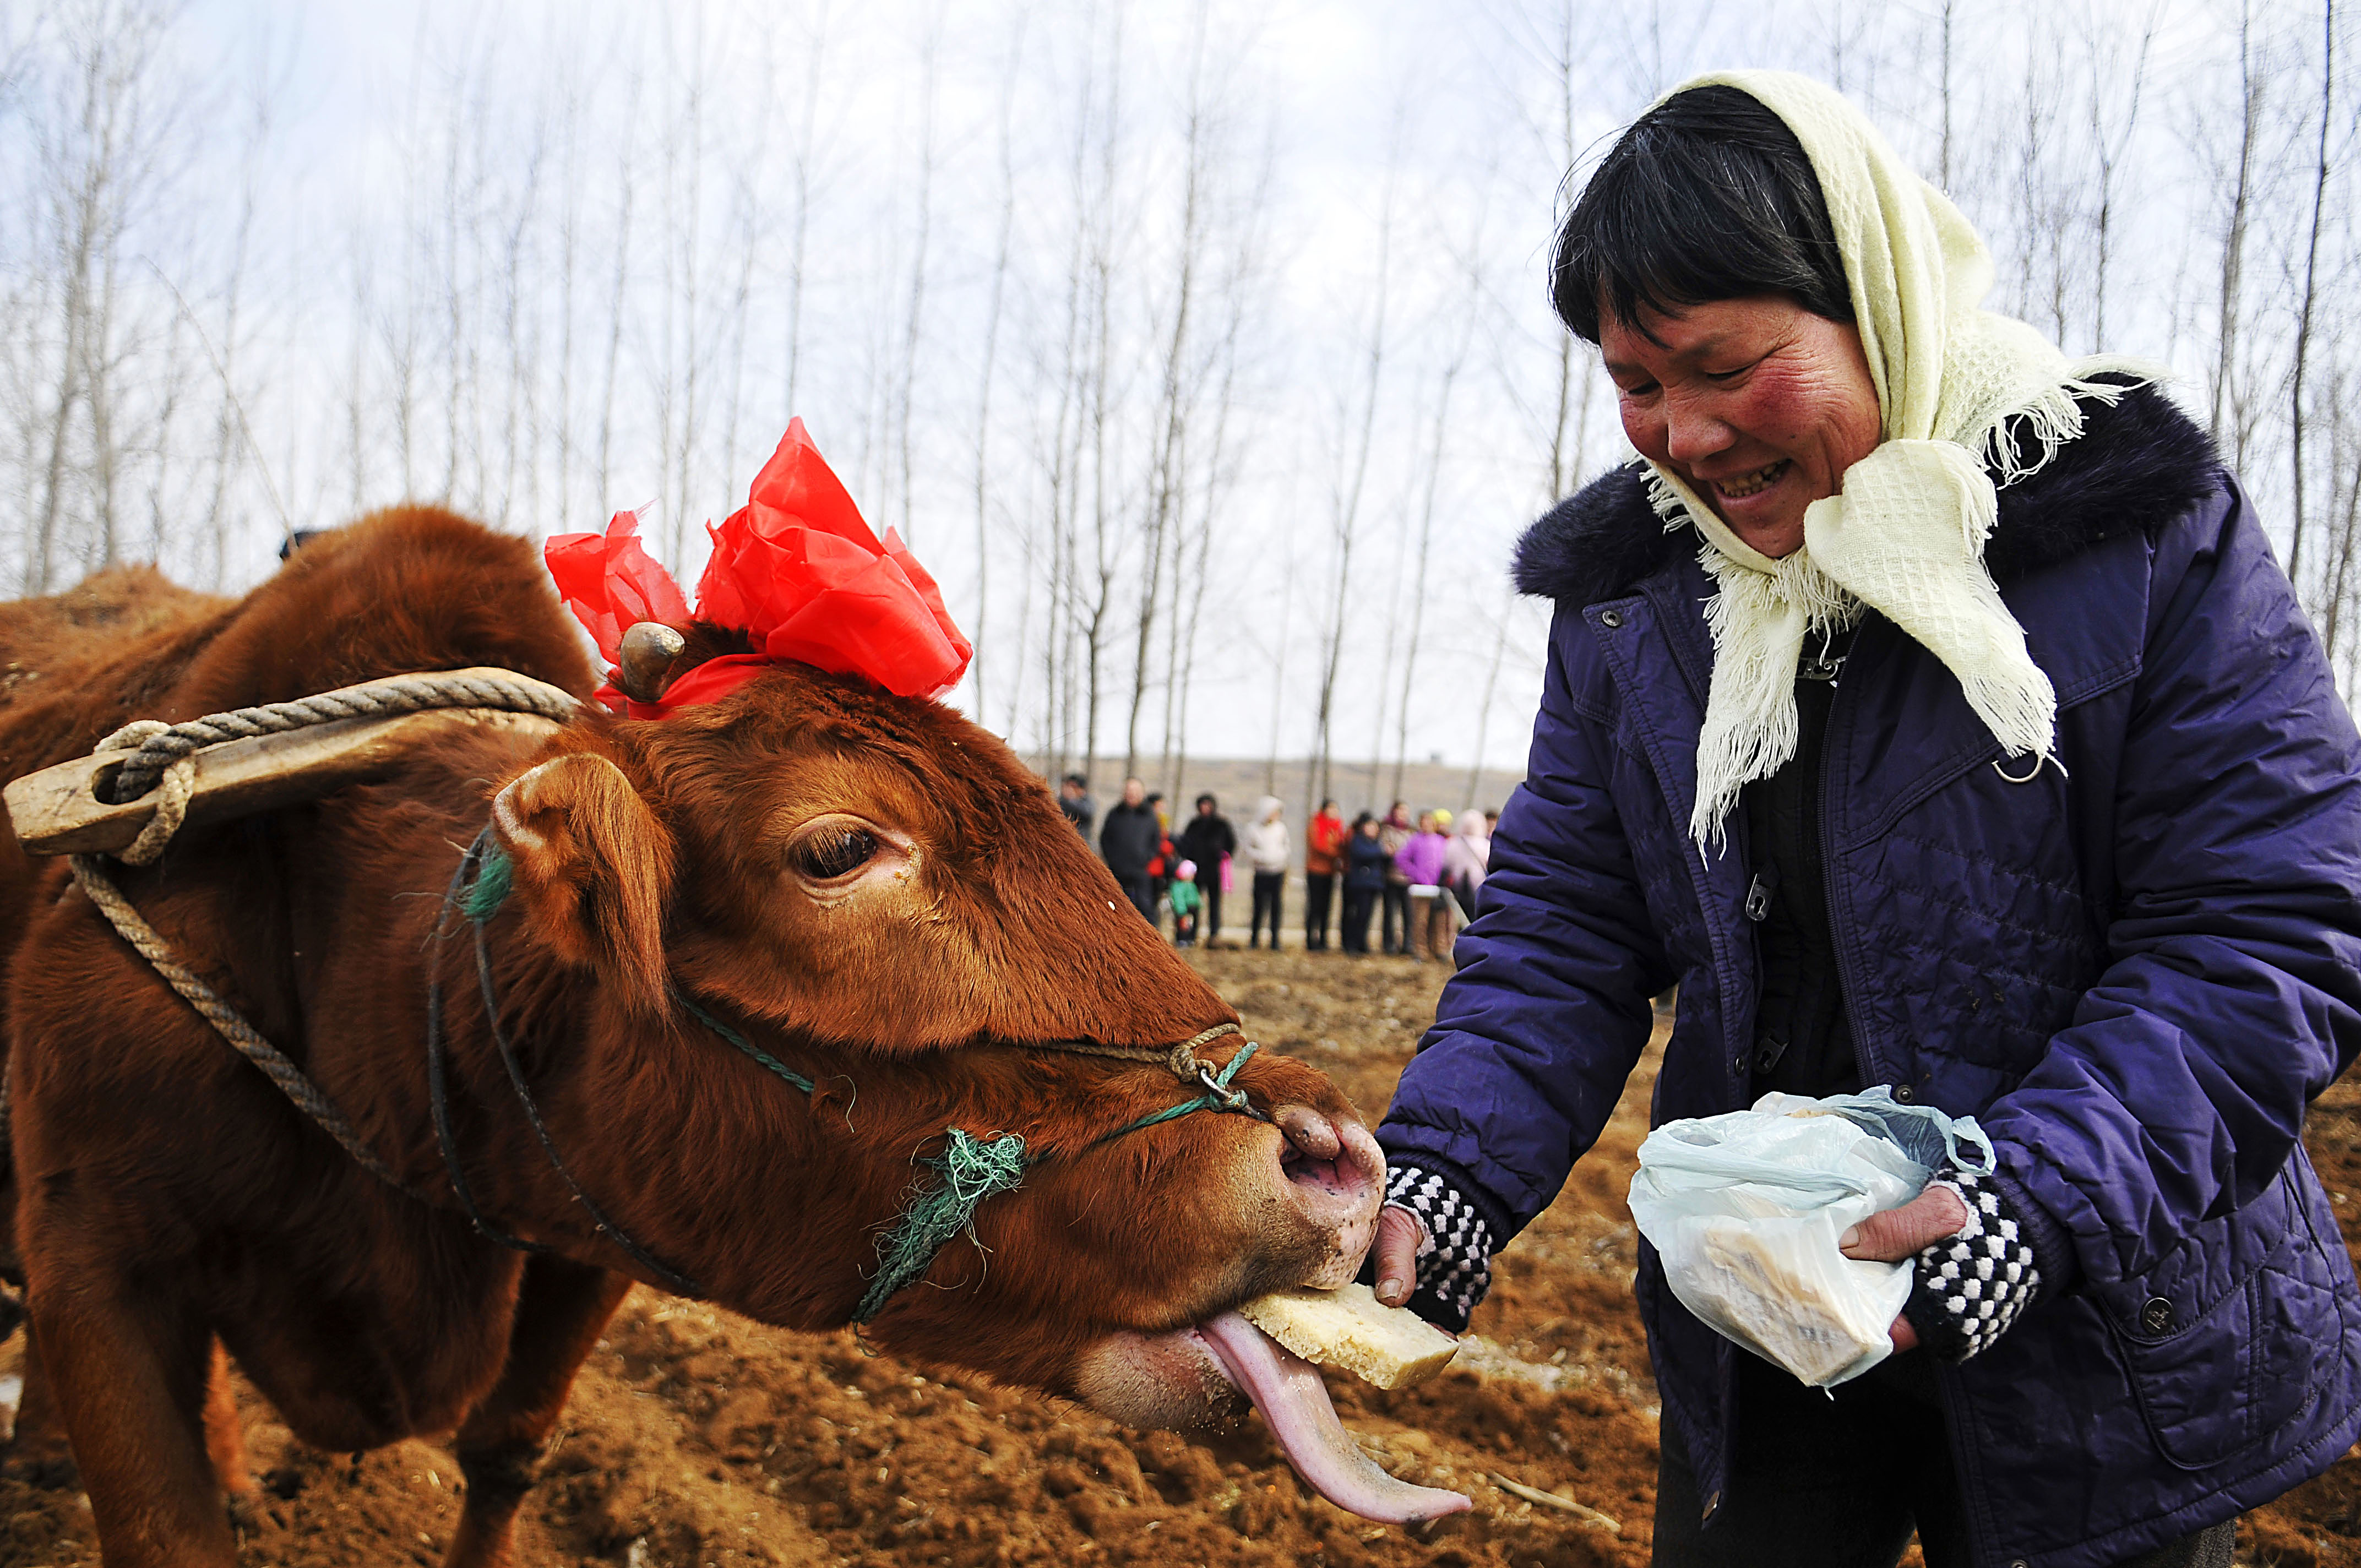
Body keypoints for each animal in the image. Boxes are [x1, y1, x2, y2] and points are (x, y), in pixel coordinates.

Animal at [0, 515, 1454, 1567]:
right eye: (836, 846)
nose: (1336, 1155)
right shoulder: (93, 1248)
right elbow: (162, 1516)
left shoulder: (587, 1237)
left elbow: (506, 1449)